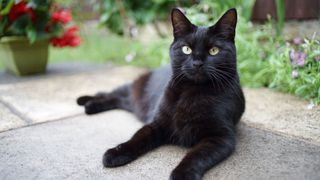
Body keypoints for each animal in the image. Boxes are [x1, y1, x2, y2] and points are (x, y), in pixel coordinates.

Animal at [77, 8, 245, 180]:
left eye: (214, 51)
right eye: (186, 49)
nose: (197, 63)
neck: (192, 92)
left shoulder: (220, 137)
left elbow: (197, 155)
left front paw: (182, 174)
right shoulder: (157, 122)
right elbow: (137, 138)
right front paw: (116, 153)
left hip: (135, 103)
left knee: (118, 99)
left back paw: (90, 105)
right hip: (135, 91)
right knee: (112, 93)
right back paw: (84, 101)